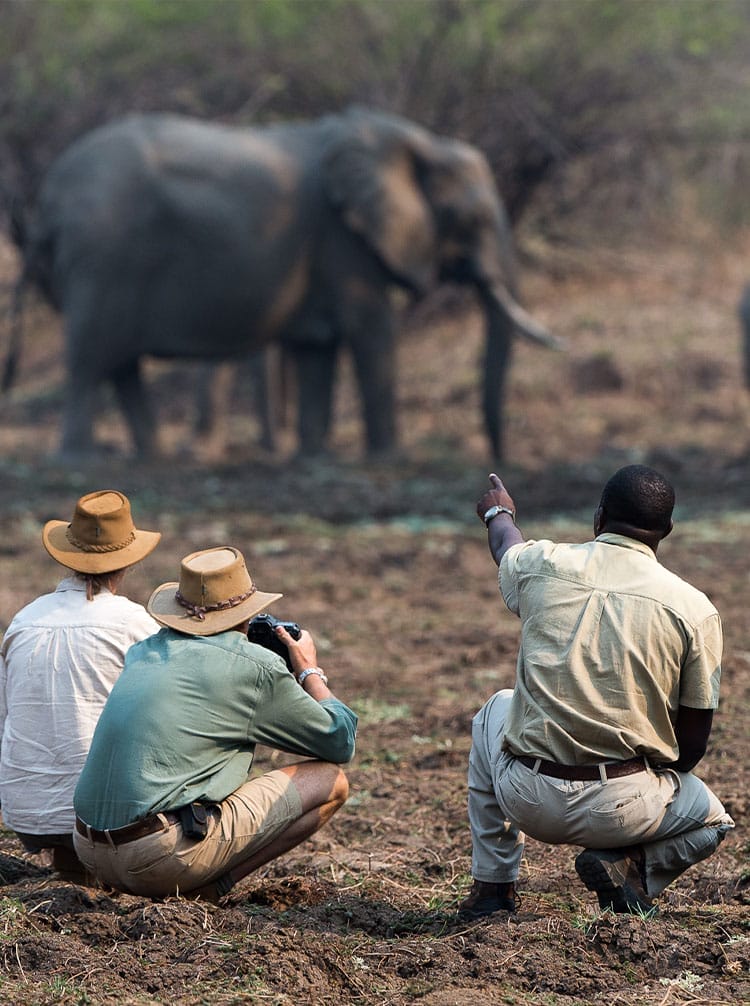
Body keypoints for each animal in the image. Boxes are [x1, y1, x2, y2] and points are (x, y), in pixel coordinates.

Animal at [6, 107, 559, 460]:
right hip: (101, 260)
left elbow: (316, 350)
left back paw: (152, 457)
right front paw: (389, 458)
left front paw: (314, 457)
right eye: (475, 220)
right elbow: (372, 329)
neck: (415, 141)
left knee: (121, 366)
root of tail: (49, 198)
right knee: (89, 359)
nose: (499, 459)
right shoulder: (343, 238)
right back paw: (80, 461)